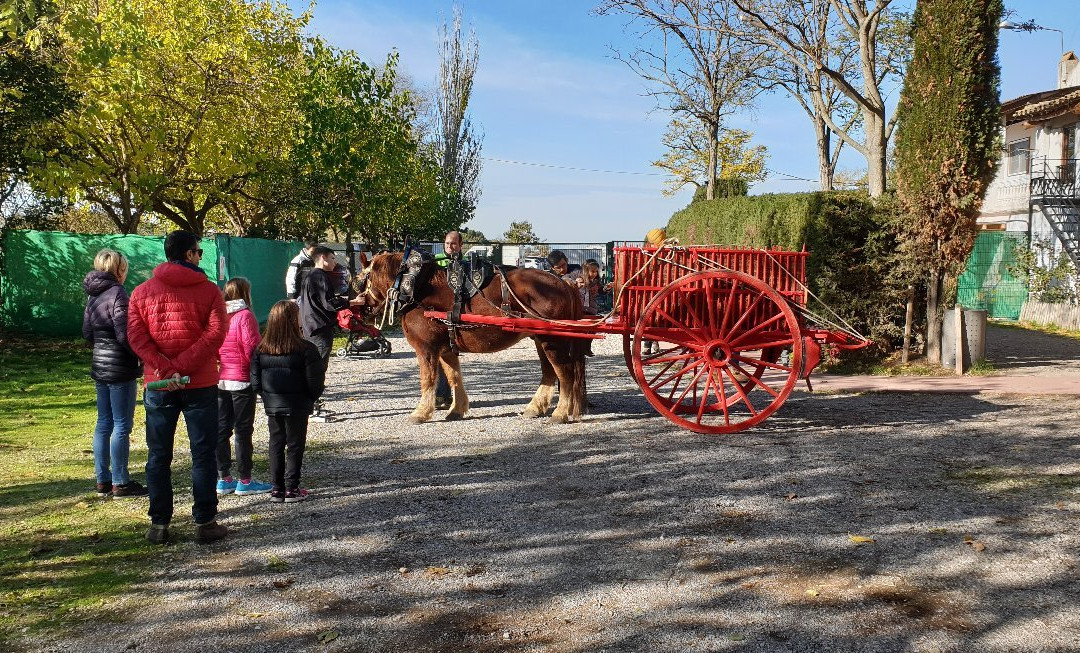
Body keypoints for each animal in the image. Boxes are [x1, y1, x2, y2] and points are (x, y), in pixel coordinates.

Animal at [358, 252, 587, 425]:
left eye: (362, 280)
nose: (359, 305)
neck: (417, 288)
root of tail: (563, 282)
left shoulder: (426, 348)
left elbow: (428, 379)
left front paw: (421, 412)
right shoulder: (446, 349)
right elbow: (454, 377)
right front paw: (456, 409)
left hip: (552, 341)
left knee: (565, 373)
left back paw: (560, 413)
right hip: (541, 340)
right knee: (549, 373)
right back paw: (535, 407)